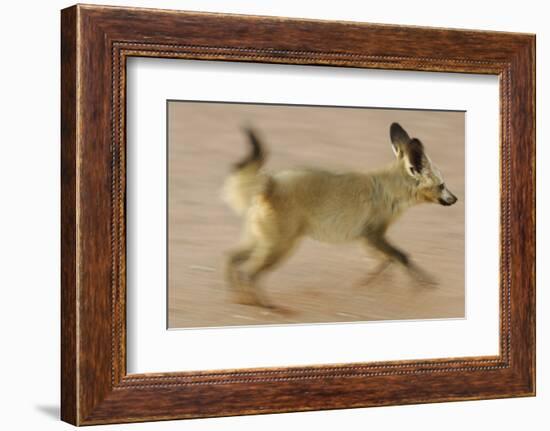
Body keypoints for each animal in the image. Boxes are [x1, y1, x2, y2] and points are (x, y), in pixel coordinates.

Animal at [222, 123, 460, 308]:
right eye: (442, 185)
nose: (456, 199)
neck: (388, 188)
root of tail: (270, 183)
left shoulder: (368, 238)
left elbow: (388, 260)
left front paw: (373, 282)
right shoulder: (373, 235)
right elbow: (402, 257)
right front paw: (423, 283)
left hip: (262, 242)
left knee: (232, 259)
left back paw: (239, 298)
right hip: (280, 247)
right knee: (250, 273)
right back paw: (264, 305)